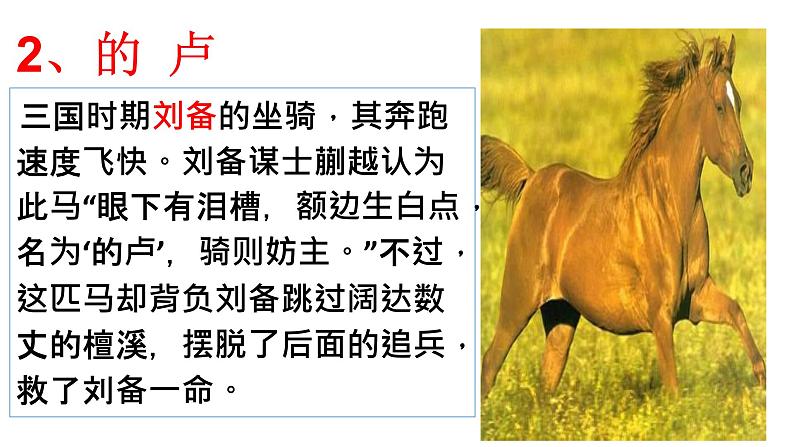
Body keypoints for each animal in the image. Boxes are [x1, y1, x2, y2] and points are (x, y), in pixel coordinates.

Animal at [481, 35, 765, 399]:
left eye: (738, 103)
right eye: (718, 106)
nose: (746, 172)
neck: (671, 211)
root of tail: (531, 178)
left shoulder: (696, 296)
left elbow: (736, 310)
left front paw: (761, 378)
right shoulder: (661, 315)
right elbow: (672, 385)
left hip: (561, 314)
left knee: (548, 376)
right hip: (518, 300)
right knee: (490, 363)